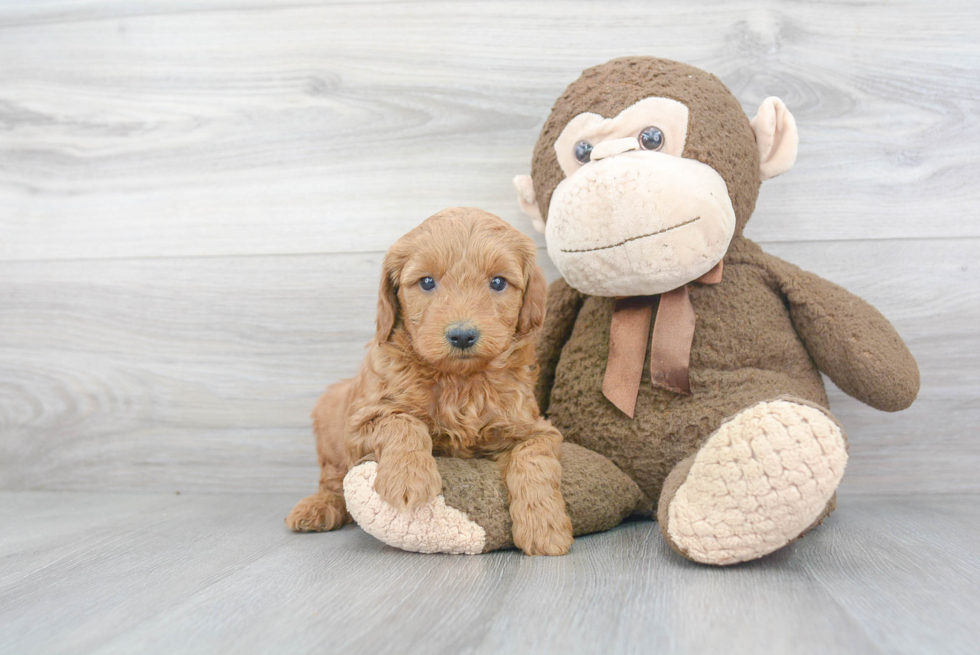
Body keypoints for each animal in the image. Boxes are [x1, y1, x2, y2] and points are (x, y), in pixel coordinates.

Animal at [284, 208, 576, 556]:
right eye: (426, 282)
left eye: (498, 282)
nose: (462, 335)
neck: (460, 382)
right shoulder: (360, 421)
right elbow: (402, 421)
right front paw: (408, 478)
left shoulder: (535, 428)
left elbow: (534, 459)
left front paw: (545, 526)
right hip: (329, 416)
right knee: (332, 480)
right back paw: (317, 508)